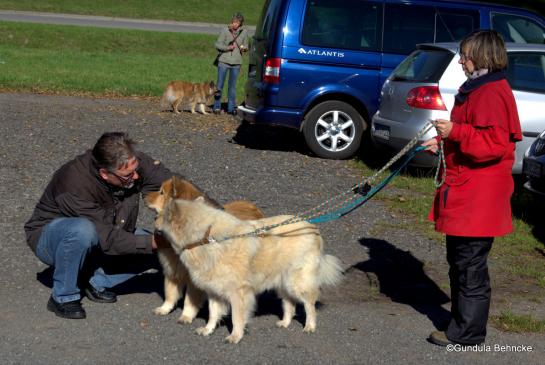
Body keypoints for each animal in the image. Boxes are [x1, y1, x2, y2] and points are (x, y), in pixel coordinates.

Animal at [144, 175, 264, 322]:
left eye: (161, 192)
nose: (143, 195)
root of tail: (254, 207)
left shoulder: (195, 279)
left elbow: (189, 300)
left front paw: (186, 316)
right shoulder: (172, 270)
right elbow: (170, 293)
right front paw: (164, 309)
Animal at [154, 195, 340, 342]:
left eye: (161, 215)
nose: (154, 220)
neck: (206, 238)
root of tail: (312, 228)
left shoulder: (239, 294)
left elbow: (237, 318)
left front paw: (235, 336)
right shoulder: (214, 292)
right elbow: (213, 313)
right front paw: (208, 330)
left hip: (297, 281)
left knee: (309, 305)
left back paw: (310, 326)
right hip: (282, 283)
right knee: (289, 304)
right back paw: (285, 323)